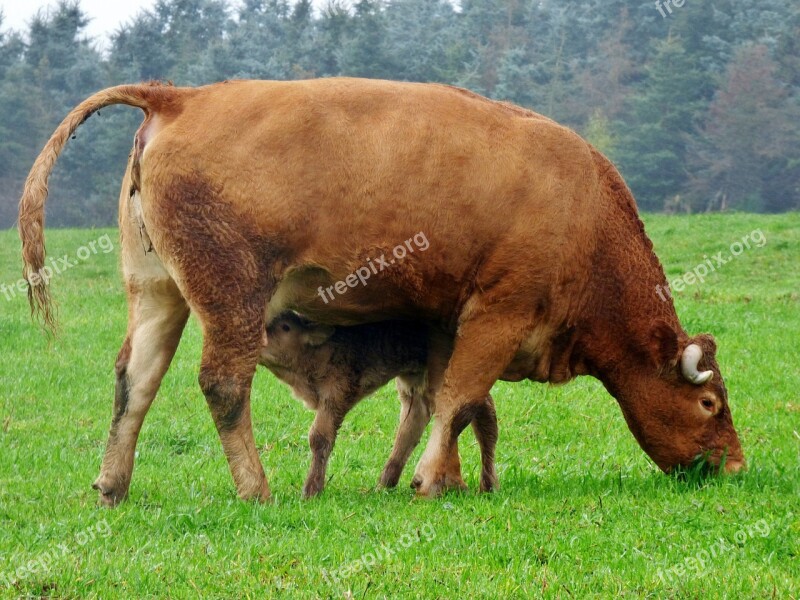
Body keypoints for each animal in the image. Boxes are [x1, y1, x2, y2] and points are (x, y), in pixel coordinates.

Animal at [258, 312, 494, 500]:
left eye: (286, 327)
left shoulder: (336, 395)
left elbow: (319, 437)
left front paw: (311, 491)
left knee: (480, 410)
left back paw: (487, 484)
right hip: (415, 378)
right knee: (414, 424)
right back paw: (386, 483)